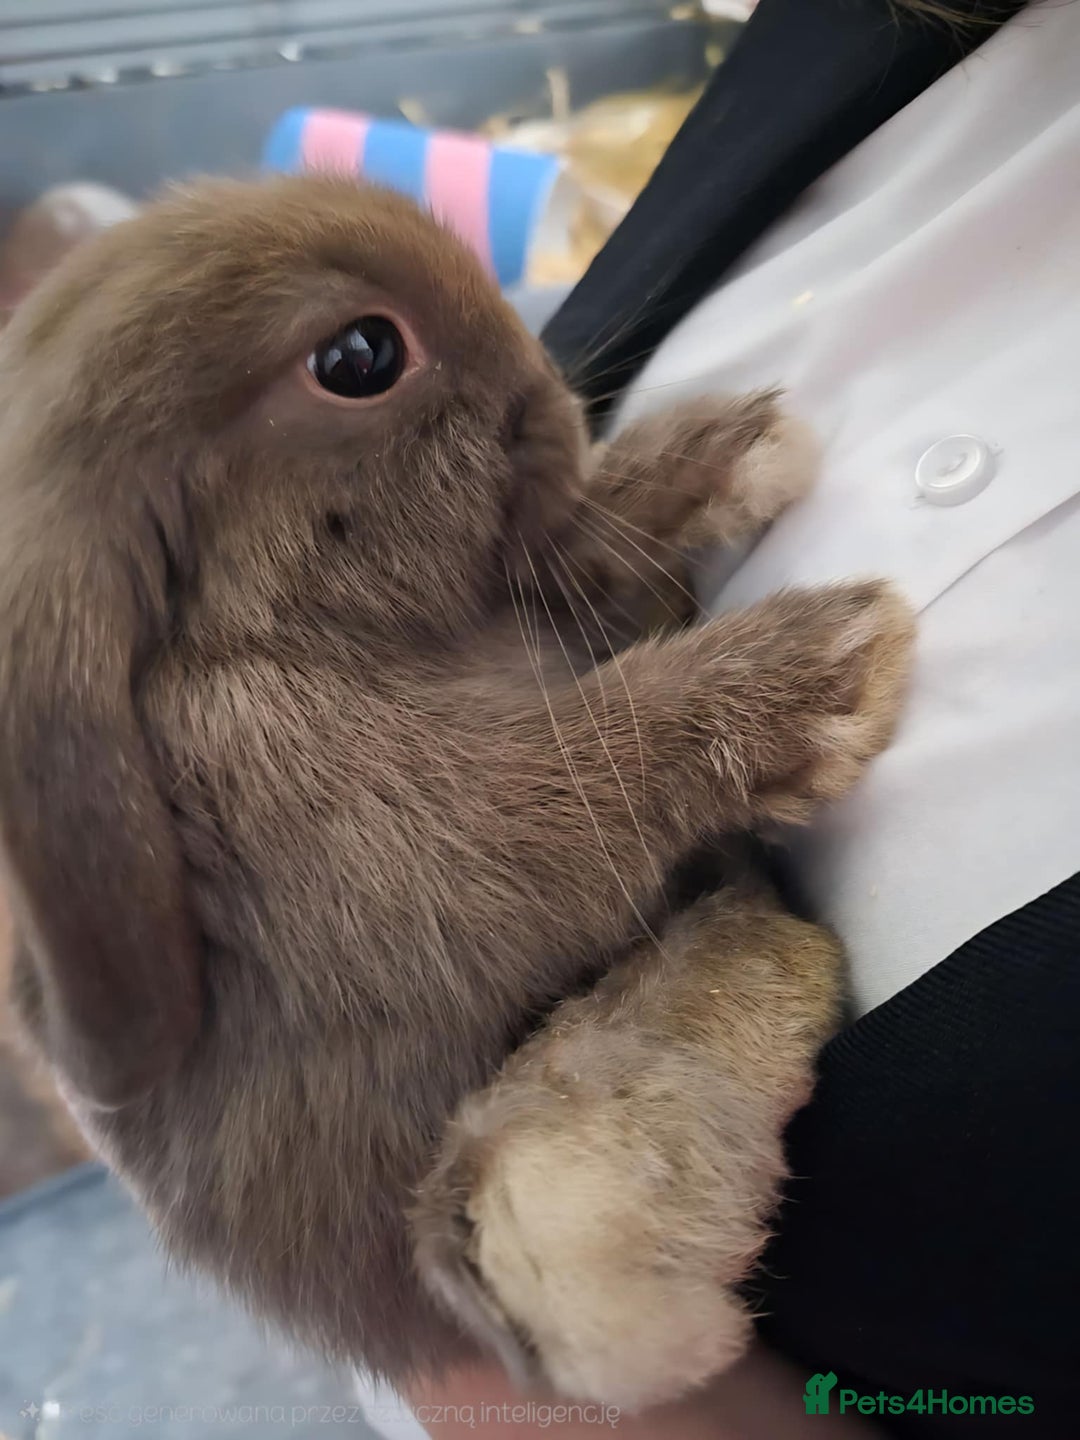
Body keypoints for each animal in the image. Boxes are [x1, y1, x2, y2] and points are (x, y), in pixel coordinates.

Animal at [0, 173, 913, 1410]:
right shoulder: (389, 824)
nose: (554, 404)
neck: (278, 630)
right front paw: (821, 663)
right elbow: (580, 771)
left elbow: (579, 546)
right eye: (360, 356)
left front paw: (727, 448)